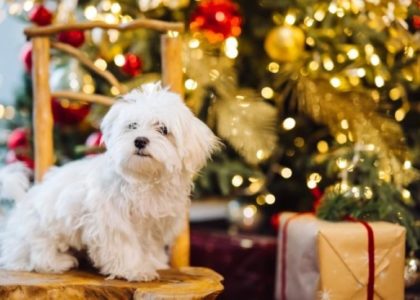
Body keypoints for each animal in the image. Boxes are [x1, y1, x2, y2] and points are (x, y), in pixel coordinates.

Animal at [0, 84, 218, 282]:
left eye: (163, 129)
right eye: (132, 126)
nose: (140, 140)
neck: (144, 179)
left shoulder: (155, 224)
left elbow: (149, 245)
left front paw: (153, 262)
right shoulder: (112, 220)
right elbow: (125, 246)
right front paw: (135, 270)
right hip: (39, 229)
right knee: (33, 254)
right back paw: (57, 261)